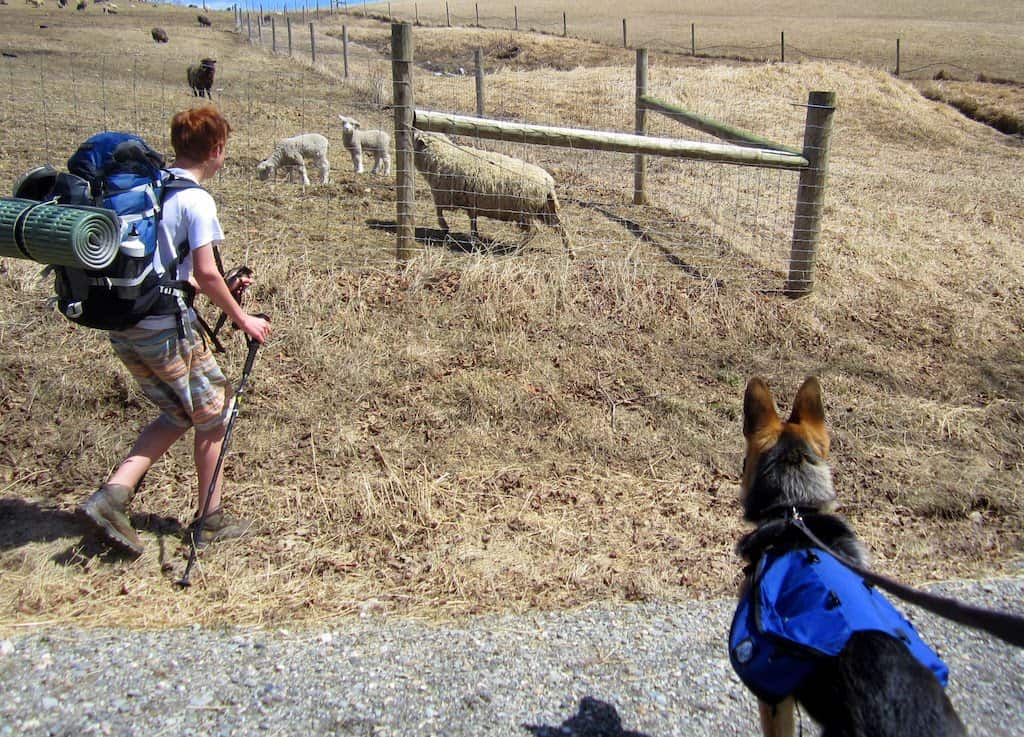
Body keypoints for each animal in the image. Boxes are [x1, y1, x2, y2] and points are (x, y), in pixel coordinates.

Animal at [415, 131, 577, 257]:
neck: (442, 155)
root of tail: (548, 181)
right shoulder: (470, 202)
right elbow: (472, 221)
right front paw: (474, 239)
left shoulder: (445, 196)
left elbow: (438, 211)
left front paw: (444, 227)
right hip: (545, 209)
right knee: (560, 227)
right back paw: (571, 252)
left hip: (524, 211)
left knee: (534, 230)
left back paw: (518, 250)